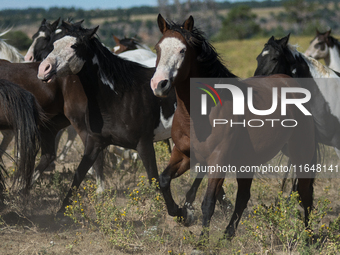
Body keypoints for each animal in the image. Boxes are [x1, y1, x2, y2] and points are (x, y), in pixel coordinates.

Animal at [150, 13, 318, 249]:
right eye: (158, 48)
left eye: (182, 50)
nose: (159, 84)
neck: (199, 114)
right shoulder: (183, 154)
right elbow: (164, 180)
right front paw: (183, 214)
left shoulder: (218, 161)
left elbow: (208, 202)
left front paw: (202, 242)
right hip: (247, 160)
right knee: (244, 196)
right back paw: (227, 234)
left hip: (301, 152)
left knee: (304, 194)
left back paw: (308, 237)